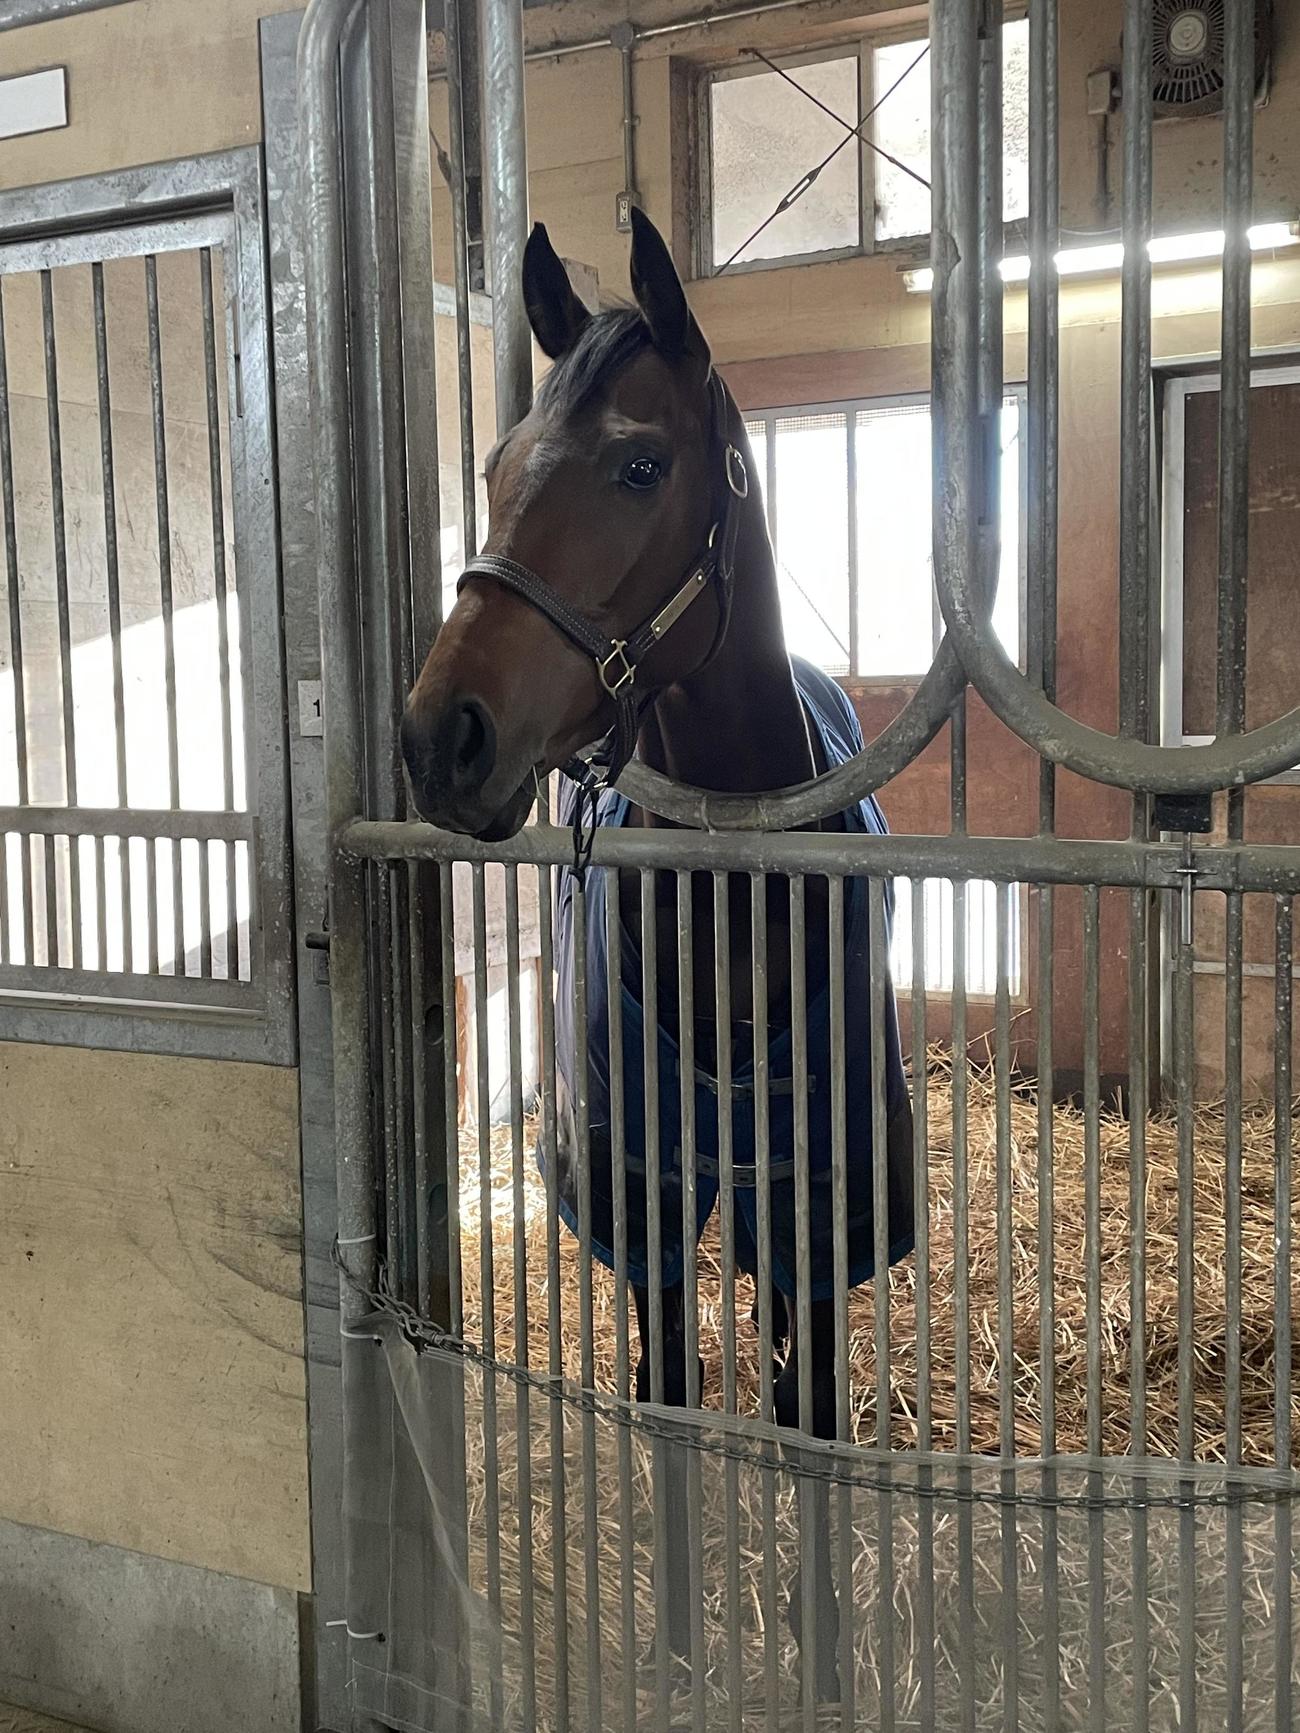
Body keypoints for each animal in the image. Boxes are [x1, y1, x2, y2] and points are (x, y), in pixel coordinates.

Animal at [402, 207, 916, 1702]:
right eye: (496, 466)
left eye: (641, 464)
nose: (439, 738)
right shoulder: (642, 1193)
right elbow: (672, 1398)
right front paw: (682, 1655)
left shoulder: (817, 1196)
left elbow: (811, 1415)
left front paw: (820, 1662)